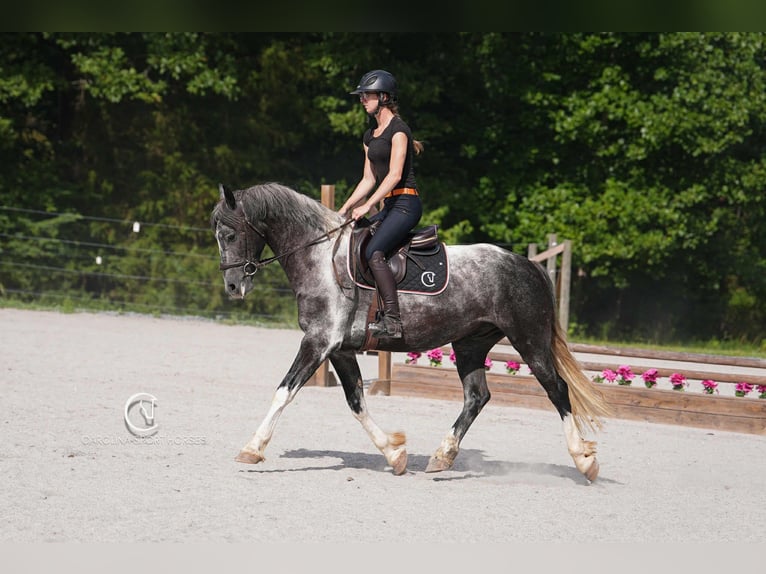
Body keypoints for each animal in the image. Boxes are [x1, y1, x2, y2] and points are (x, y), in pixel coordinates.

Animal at [211, 182, 612, 481]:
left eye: (229, 235)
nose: (232, 287)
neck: (322, 260)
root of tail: (528, 265)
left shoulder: (319, 342)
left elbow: (284, 392)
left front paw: (252, 448)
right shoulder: (339, 348)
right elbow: (356, 402)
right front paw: (394, 453)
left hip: (529, 341)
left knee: (556, 388)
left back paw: (584, 460)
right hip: (470, 345)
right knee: (476, 397)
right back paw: (442, 456)